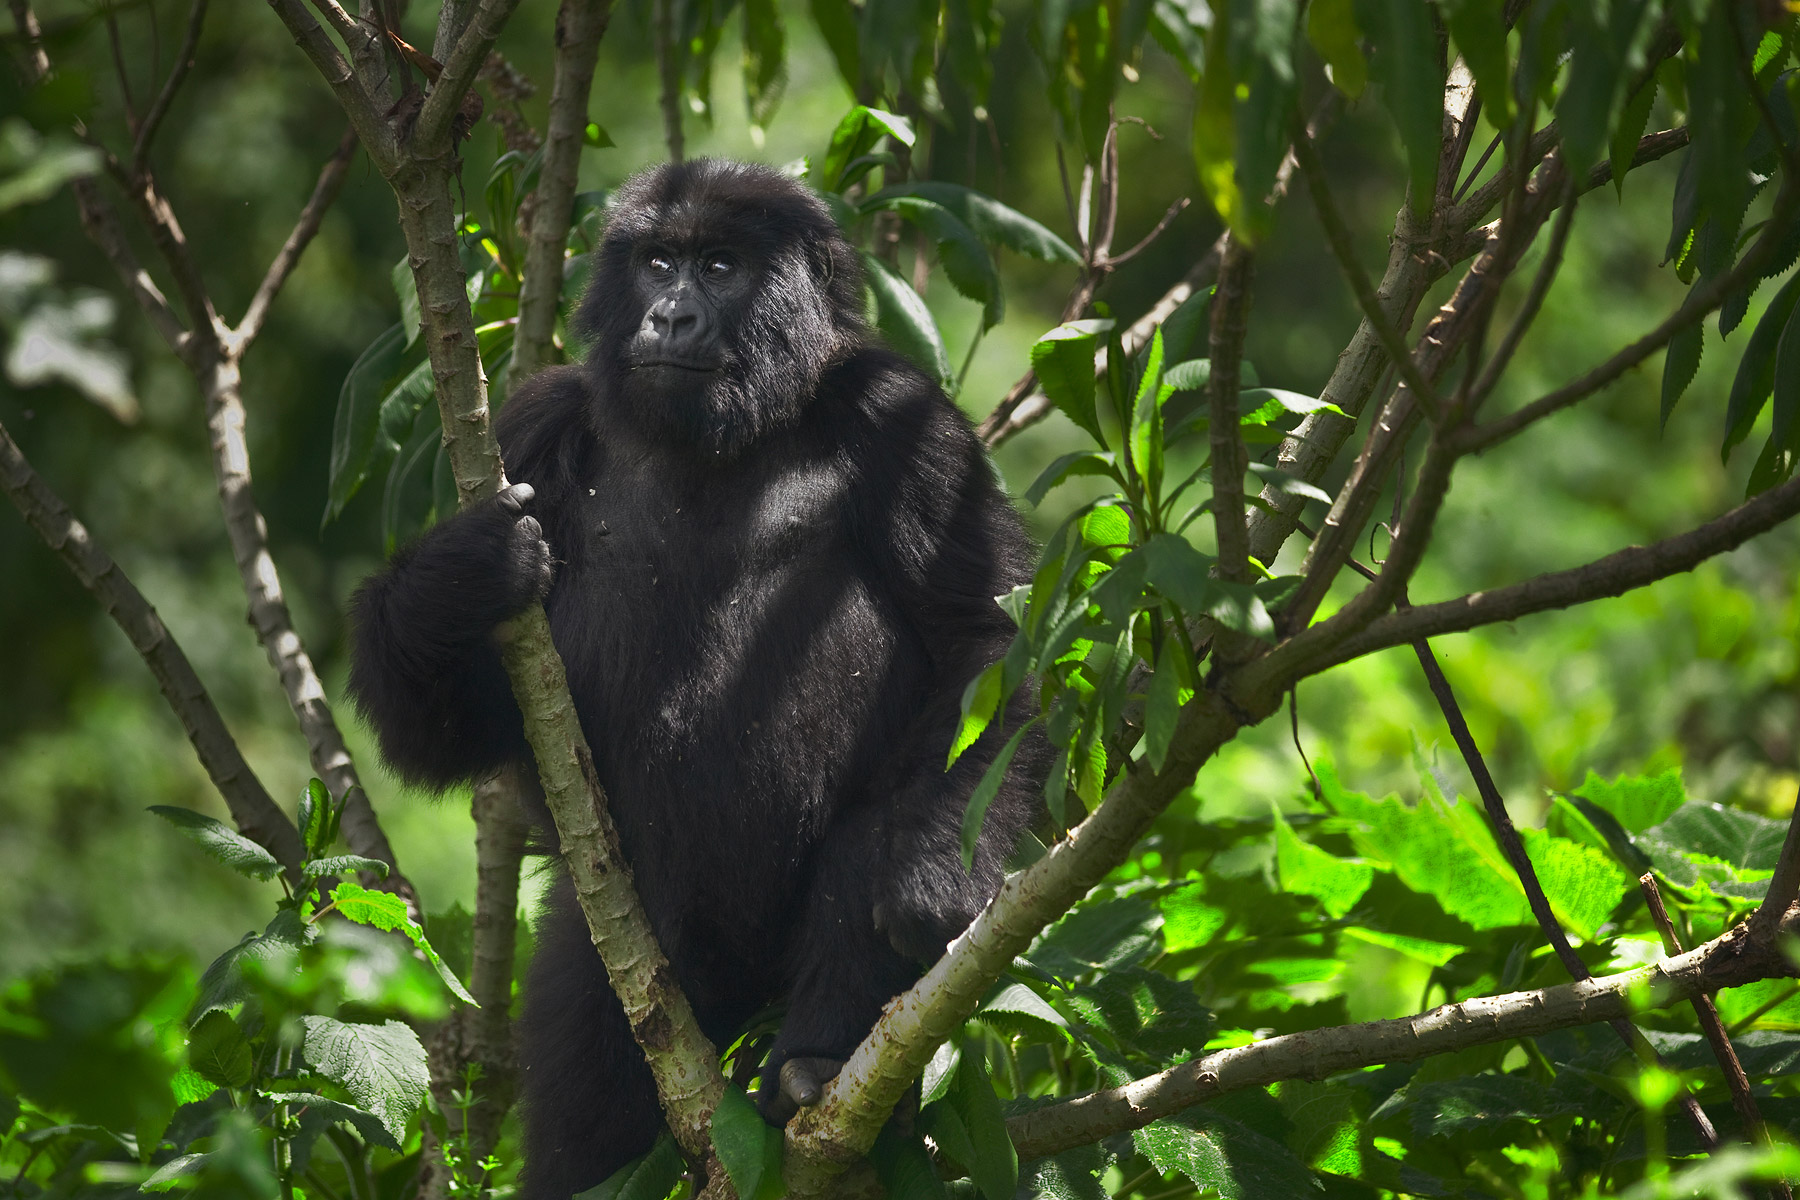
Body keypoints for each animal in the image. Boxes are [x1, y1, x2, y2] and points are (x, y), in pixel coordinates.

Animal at [347, 159, 1044, 1200]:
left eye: (721, 265)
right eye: (657, 261)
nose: (671, 315)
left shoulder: (902, 415)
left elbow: (985, 637)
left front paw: (931, 869)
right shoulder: (531, 424)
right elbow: (445, 729)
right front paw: (458, 580)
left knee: (859, 868)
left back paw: (817, 1064)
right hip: (621, 954)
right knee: (587, 1096)